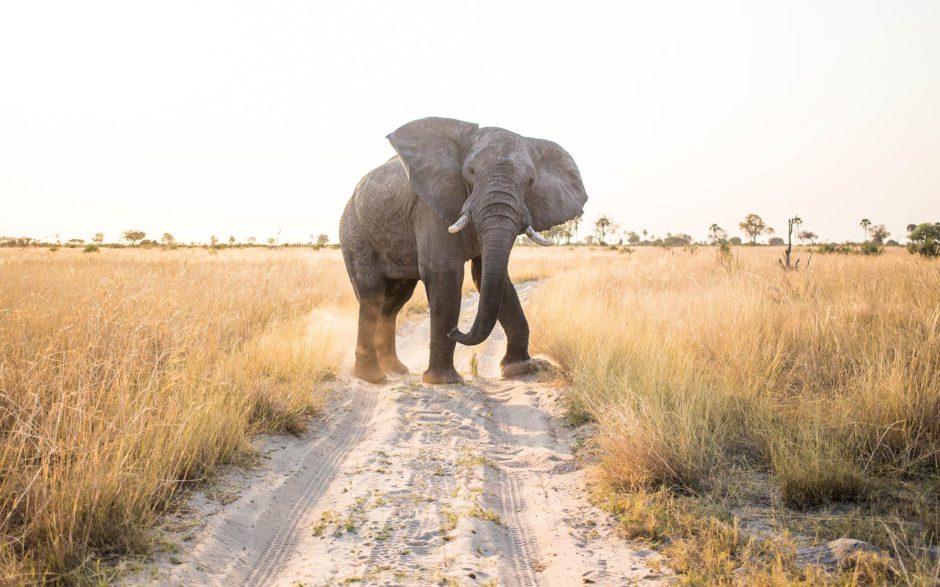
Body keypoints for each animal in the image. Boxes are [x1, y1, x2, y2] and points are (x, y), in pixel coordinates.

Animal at [338, 119, 588, 386]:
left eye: (531, 181)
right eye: (470, 172)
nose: (456, 330)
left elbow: (489, 276)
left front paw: (522, 369)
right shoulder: (431, 207)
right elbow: (444, 271)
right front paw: (444, 381)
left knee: (394, 301)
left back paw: (396, 369)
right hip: (354, 230)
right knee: (371, 293)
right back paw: (372, 377)